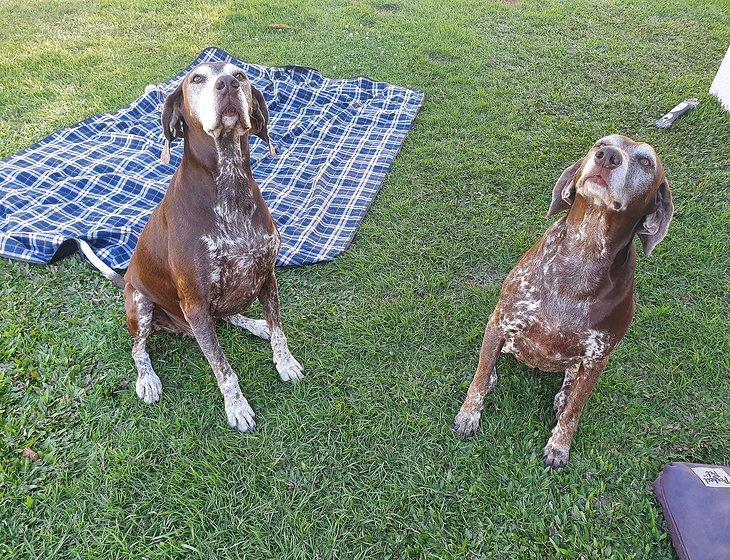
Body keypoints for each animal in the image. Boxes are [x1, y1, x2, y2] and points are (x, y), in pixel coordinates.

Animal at [82, 61, 302, 430]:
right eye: (196, 79)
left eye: (241, 75)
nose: (227, 84)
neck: (229, 185)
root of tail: (124, 280)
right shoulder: (196, 303)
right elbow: (223, 369)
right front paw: (237, 407)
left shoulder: (266, 275)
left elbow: (278, 331)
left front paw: (283, 362)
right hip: (142, 304)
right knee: (138, 349)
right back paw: (147, 379)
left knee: (230, 316)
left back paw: (253, 323)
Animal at [452, 135, 672, 468]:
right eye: (602, 143)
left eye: (646, 162)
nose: (607, 156)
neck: (585, 248)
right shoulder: (501, 320)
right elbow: (478, 379)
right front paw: (469, 415)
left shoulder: (597, 358)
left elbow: (574, 412)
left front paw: (559, 446)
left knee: (570, 382)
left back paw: (564, 394)